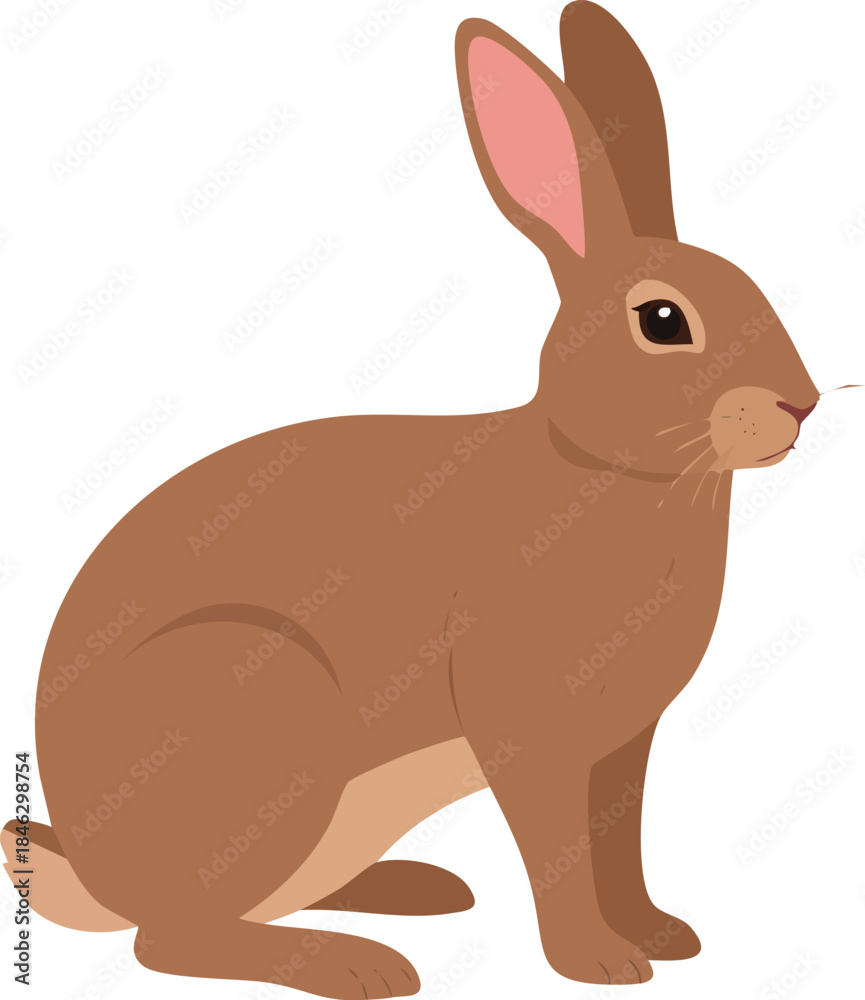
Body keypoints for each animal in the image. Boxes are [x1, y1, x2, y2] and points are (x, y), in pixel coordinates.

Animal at [3, 2, 822, 996]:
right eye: (662, 321)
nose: (801, 404)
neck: (605, 469)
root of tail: (91, 869)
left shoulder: (621, 749)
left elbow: (617, 842)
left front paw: (662, 936)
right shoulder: (528, 728)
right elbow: (559, 850)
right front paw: (597, 962)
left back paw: (416, 891)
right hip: (265, 714)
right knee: (168, 940)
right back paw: (358, 965)